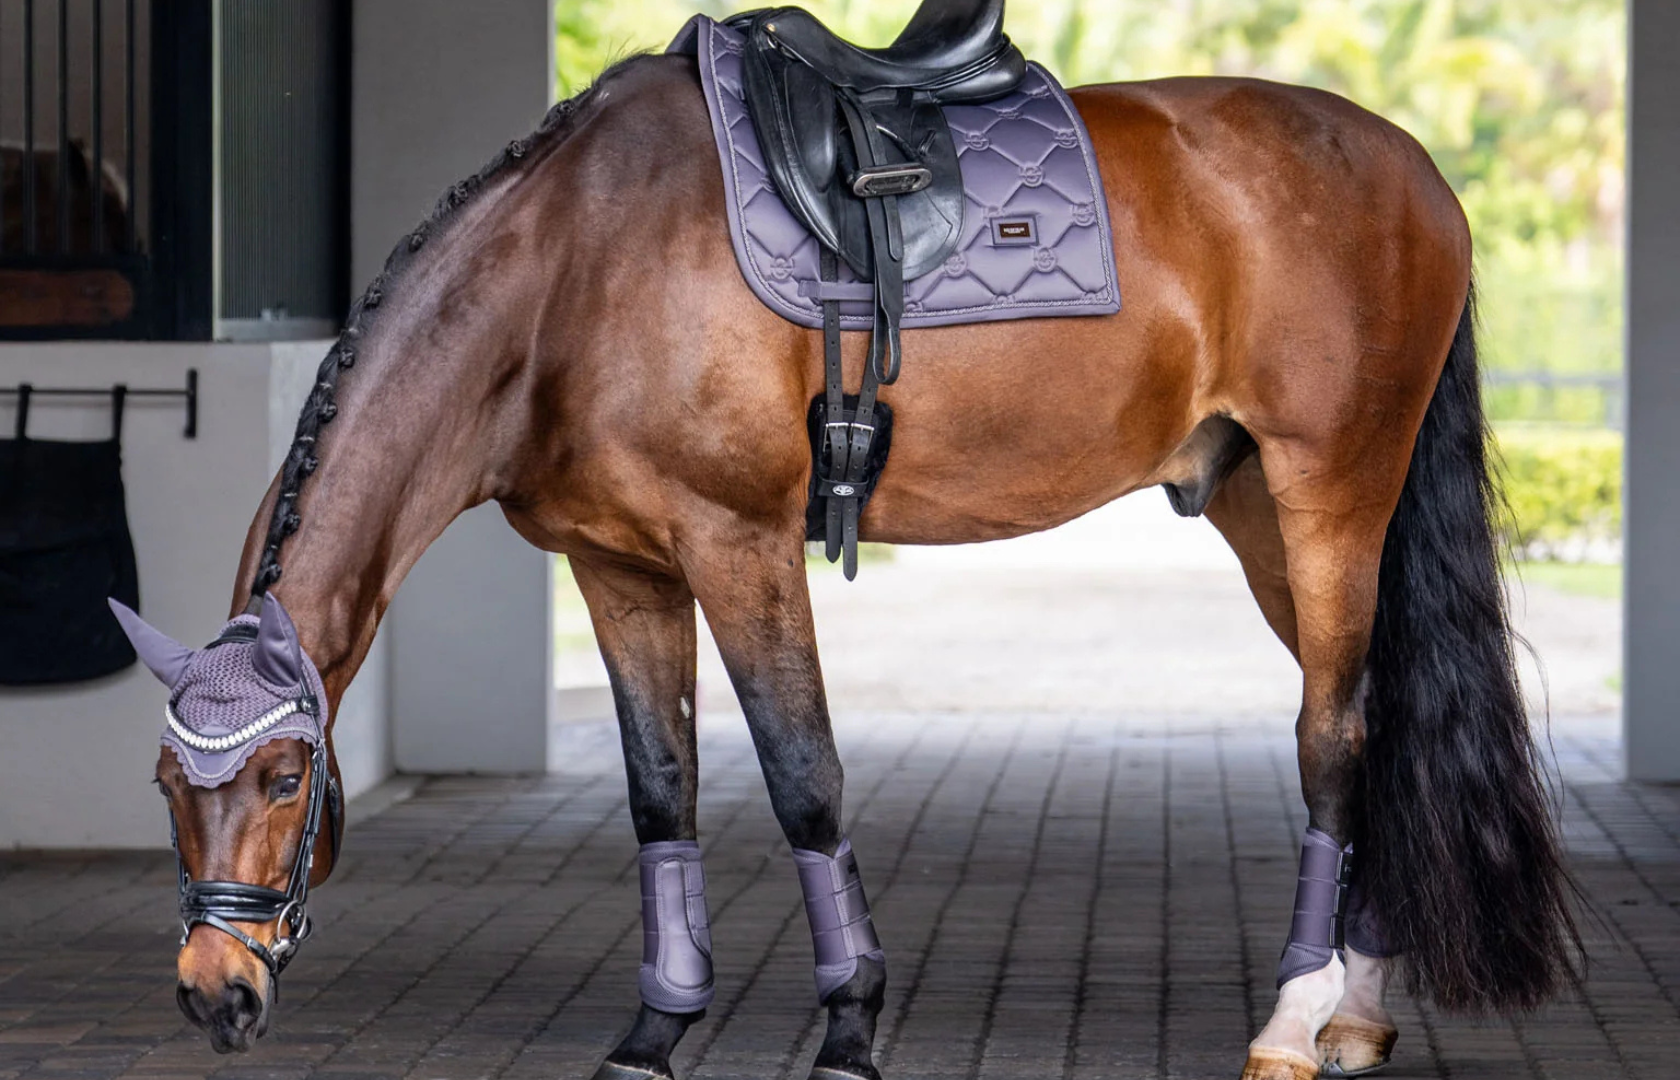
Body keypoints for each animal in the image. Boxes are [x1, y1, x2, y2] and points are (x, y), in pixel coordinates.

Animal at [113, 29, 1580, 1080]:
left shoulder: (739, 542)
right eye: (166, 785)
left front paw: (850, 1028)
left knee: (1335, 738)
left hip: (1335, 492)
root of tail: (1416, 169)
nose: (211, 994)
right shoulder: (621, 569)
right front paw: (659, 1030)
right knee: (1377, 723)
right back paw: (1357, 1016)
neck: (572, 274)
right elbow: (661, 796)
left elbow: (804, 780)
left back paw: (1290, 1024)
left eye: (289, 778)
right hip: (1262, 508)